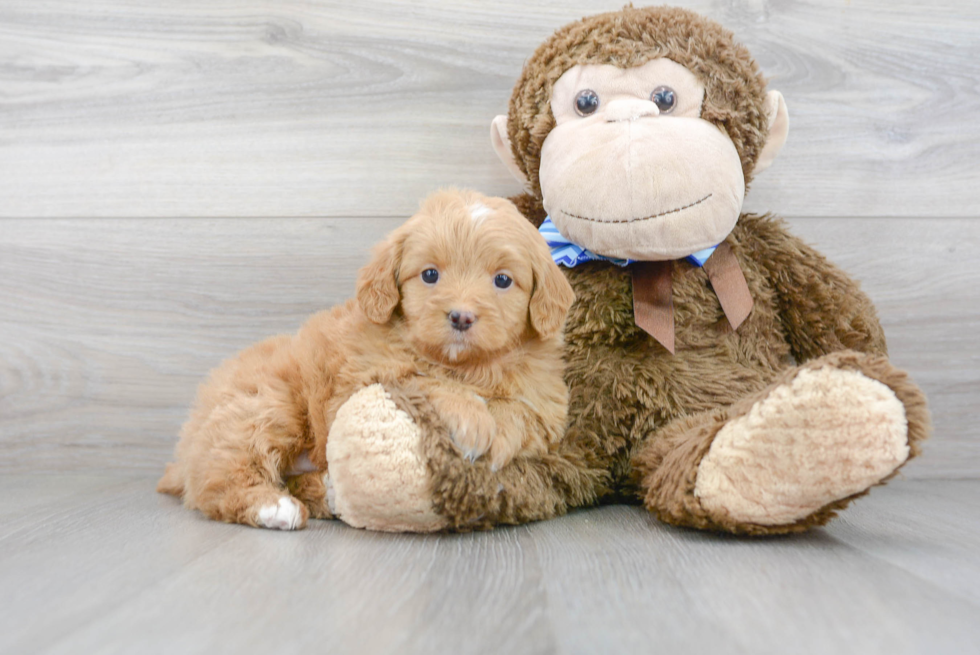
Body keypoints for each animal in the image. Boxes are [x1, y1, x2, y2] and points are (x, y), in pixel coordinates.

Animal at [157, 188, 580, 528]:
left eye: (503, 280)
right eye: (430, 275)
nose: (461, 317)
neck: (467, 365)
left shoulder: (548, 405)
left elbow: (522, 412)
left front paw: (498, 434)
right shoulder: (360, 380)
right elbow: (425, 380)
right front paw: (471, 420)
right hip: (265, 407)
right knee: (217, 479)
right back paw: (273, 507)